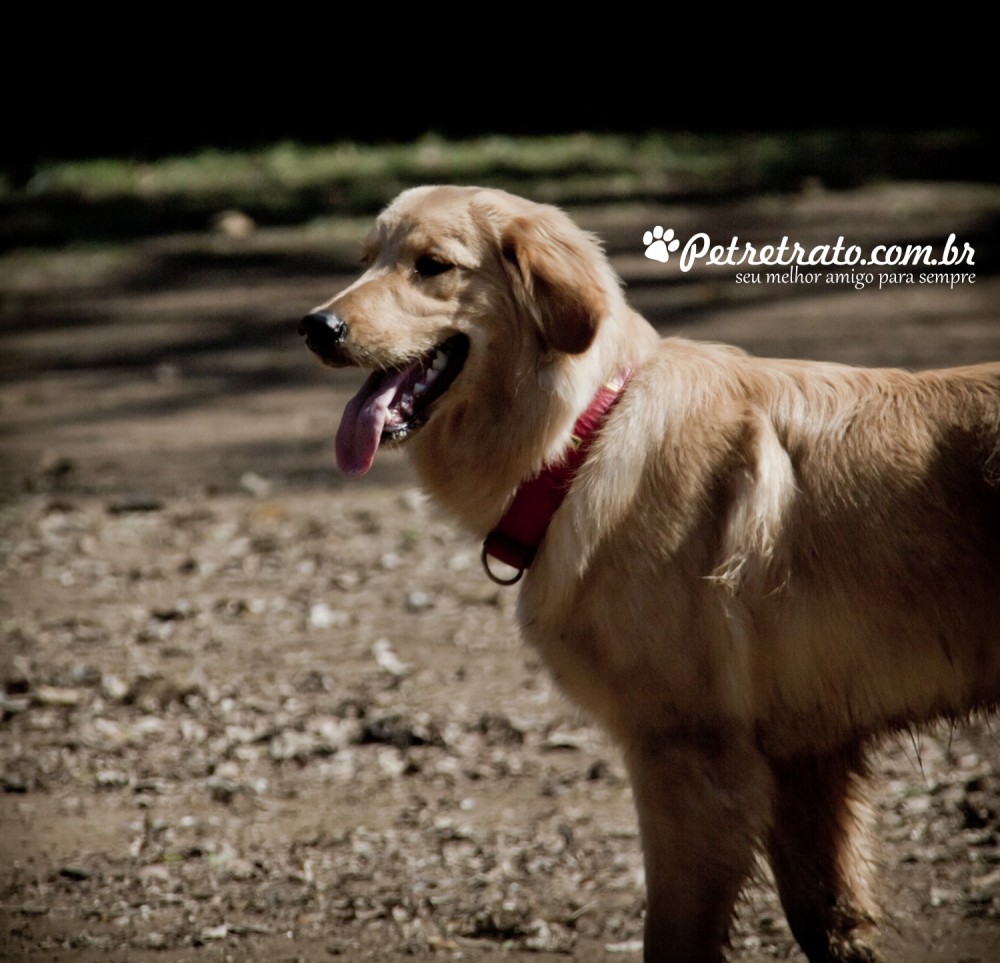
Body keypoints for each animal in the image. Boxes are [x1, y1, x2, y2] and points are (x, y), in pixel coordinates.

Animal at [300, 188, 1000, 963]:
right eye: (368, 259)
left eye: (431, 266)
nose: (315, 326)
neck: (583, 437)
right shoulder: (809, 755)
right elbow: (828, 917)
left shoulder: (686, 758)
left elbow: (671, 934)